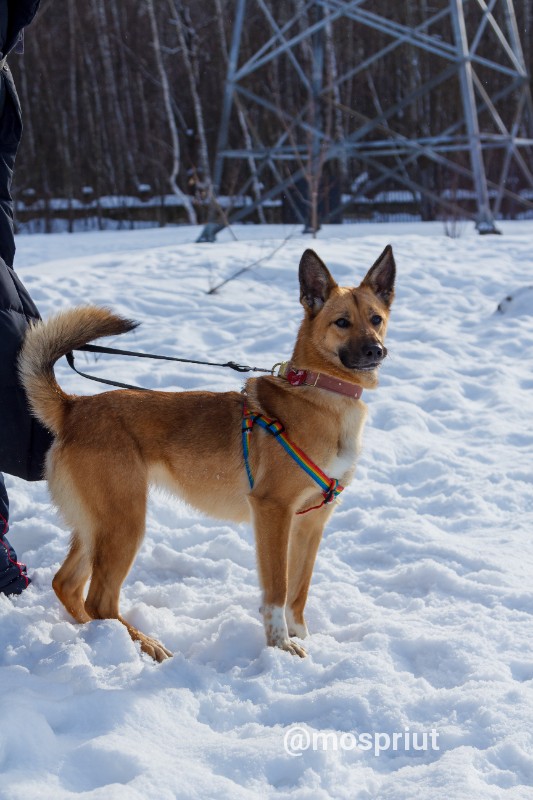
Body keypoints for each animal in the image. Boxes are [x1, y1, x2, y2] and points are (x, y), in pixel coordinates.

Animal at [18, 248, 392, 664]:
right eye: (342, 322)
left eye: (376, 319)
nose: (376, 350)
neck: (321, 392)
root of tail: (74, 407)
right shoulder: (272, 511)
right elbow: (278, 589)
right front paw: (280, 645)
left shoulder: (312, 523)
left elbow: (299, 591)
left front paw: (301, 637)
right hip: (124, 521)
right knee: (99, 600)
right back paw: (143, 644)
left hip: (98, 525)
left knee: (67, 584)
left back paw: (98, 638)